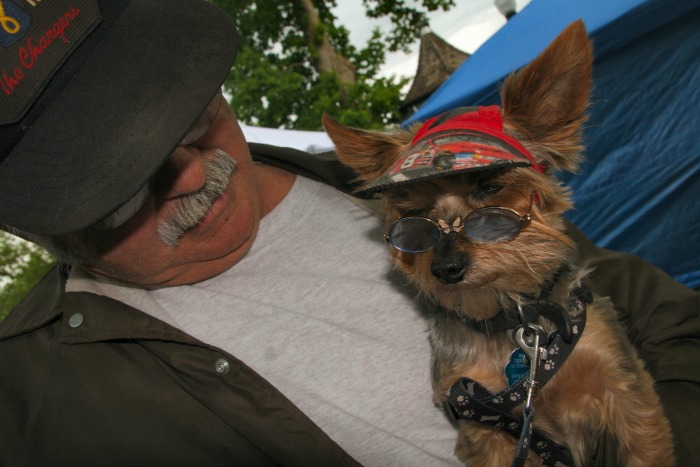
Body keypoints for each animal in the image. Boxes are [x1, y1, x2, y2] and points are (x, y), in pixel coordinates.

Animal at [326, 20, 676, 467]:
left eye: (489, 186)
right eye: (414, 217)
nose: (445, 269)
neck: (515, 324)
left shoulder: (625, 389)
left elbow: (646, 446)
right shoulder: (484, 421)